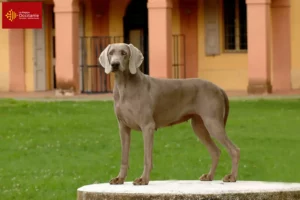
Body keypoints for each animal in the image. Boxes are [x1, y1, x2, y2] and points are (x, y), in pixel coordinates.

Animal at [99, 43, 240, 185]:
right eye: (111, 53)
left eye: (124, 53)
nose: (115, 64)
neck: (124, 86)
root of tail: (219, 88)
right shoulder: (123, 127)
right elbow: (124, 157)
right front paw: (120, 178)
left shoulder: (147, 126)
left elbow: (147, 157)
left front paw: (143, 179)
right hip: (199, 126)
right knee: (215, 151)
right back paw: (209, 176)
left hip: (212, 122)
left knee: (234, 150)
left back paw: (232, 177)